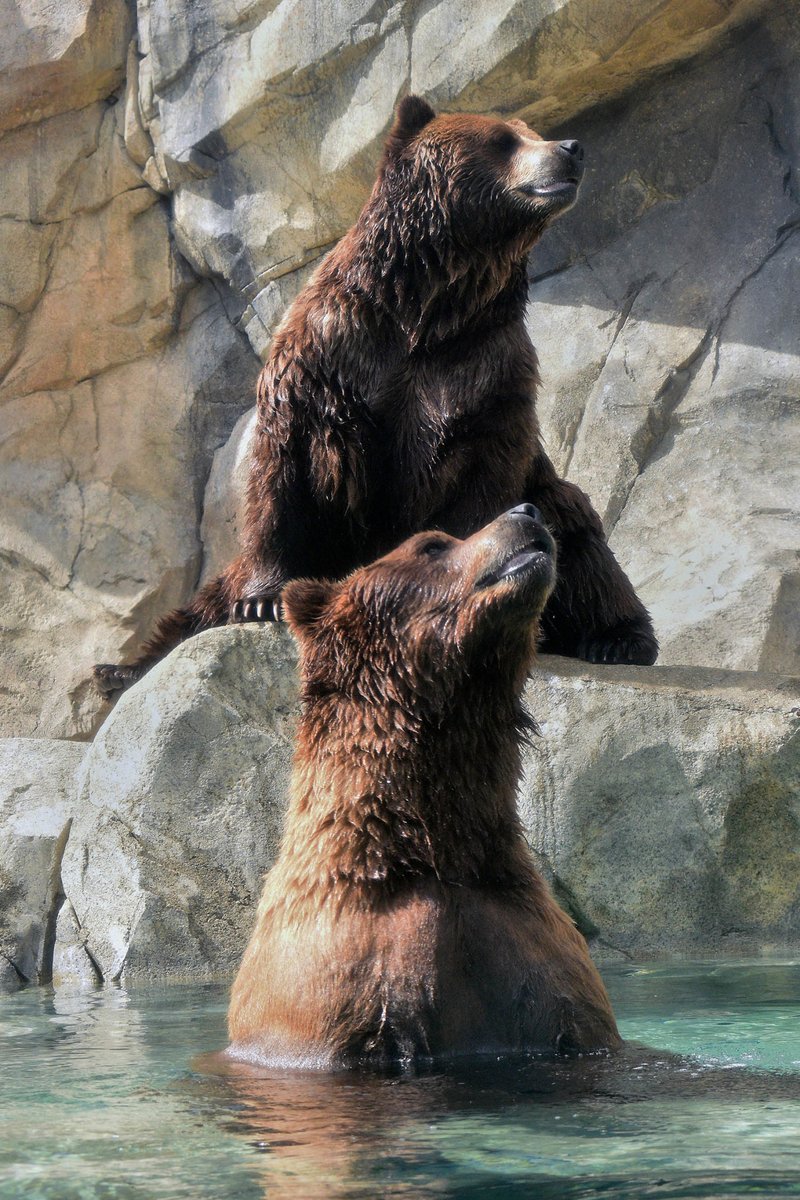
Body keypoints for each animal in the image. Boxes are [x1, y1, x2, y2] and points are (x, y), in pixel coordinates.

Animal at [95, 94, 657, 699]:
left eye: (530, 131)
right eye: (505, 138)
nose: (571, 148)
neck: (429, 305)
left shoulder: (484, 372)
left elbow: (485, 477)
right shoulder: (327, 358)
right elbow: (280, 471)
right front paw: (262, 600)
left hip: (553, 500)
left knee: (576, 531)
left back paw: (616, 639)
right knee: (198, 605)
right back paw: (120, 668)